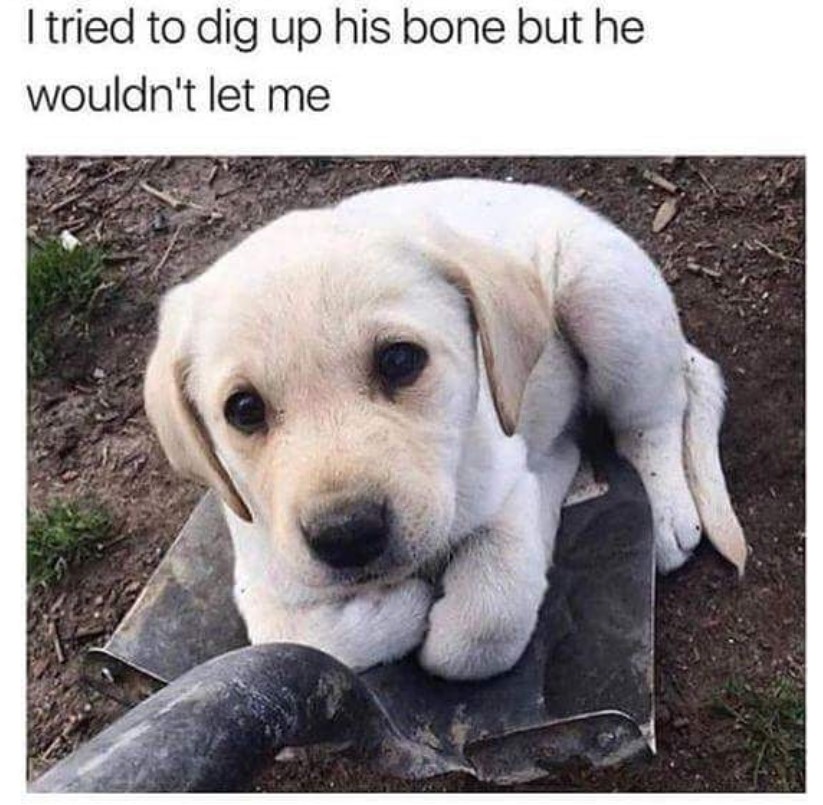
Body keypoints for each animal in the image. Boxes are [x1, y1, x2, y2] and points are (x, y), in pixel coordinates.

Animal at [145, 177, 748, 680]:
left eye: (399, 360)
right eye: (243, 409)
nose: (348, 534)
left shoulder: (505, 486)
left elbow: (483, 624)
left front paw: (431, 613)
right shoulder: (263, 569)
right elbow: (311, 642)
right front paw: (395, 609)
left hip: (605, 295)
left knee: (655, 414)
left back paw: (667, 509)